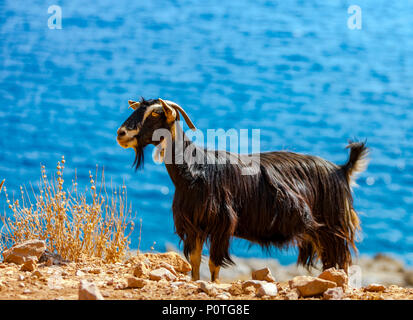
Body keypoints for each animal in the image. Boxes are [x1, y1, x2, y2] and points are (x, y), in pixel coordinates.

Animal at [116, 99, 366, 282]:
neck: (195, 170)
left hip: (333, 228)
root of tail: (341, 170)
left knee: (339, 261)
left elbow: (214, 264)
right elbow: (195, 261)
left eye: (155, 114)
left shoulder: (221, 224)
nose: (121, 133)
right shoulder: (193, 226)